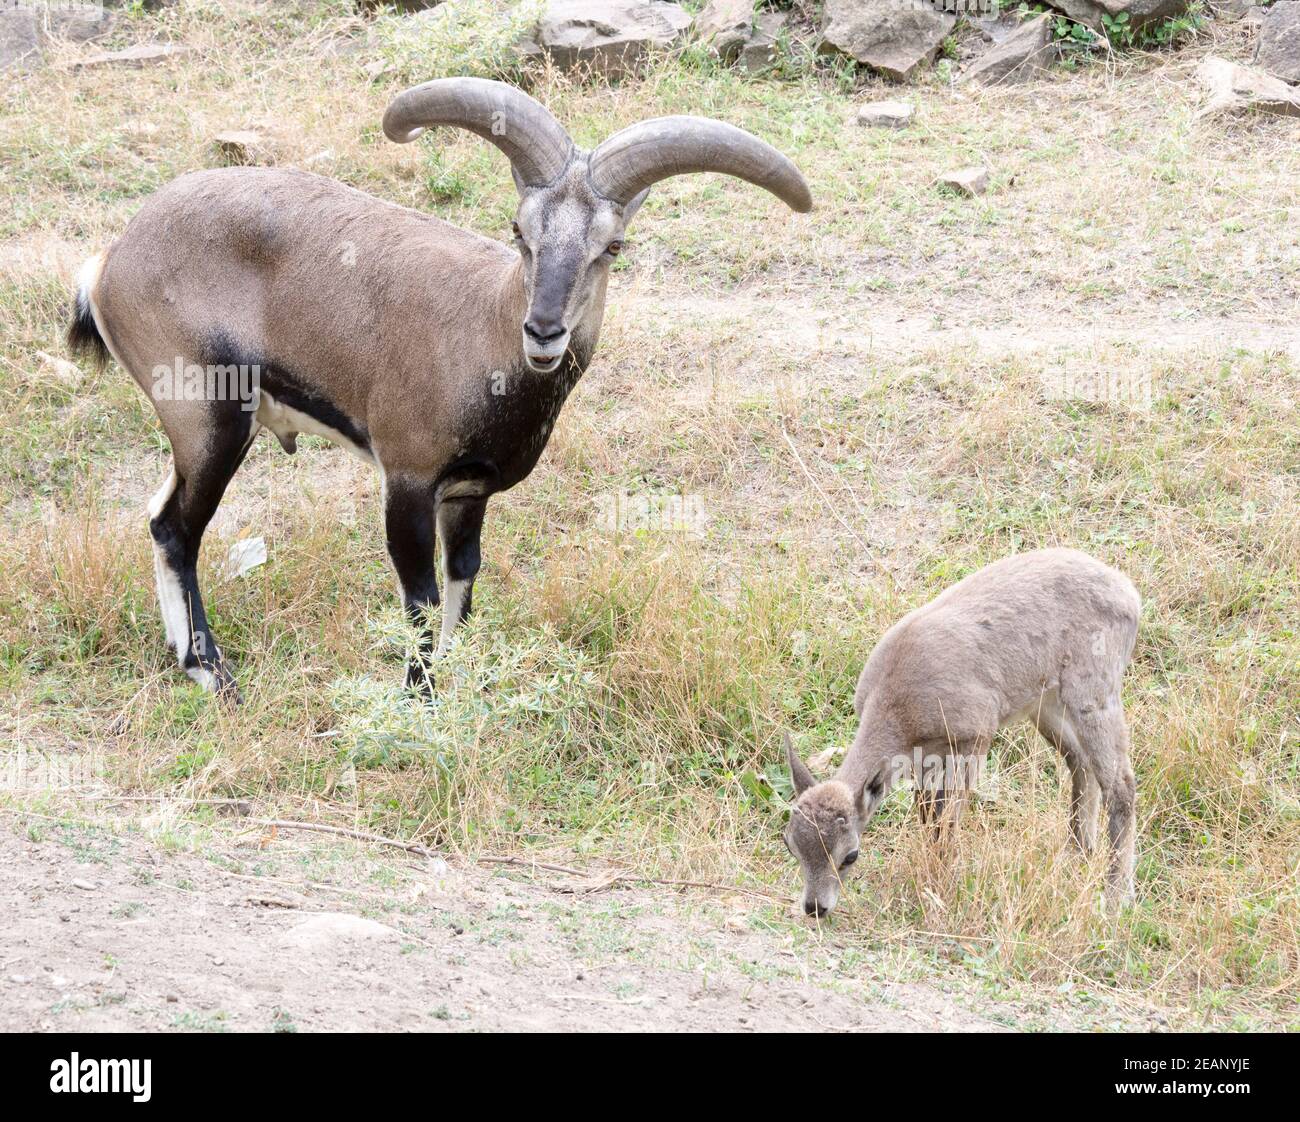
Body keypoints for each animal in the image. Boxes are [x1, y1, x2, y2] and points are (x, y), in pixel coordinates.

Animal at [66, 78, 812, 697]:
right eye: (520, 230)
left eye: (613, 246)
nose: (543, 330)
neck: (485, 341)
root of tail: (109, 262)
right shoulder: (407, 476)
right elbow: (420, 596)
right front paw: (418, 701)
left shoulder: (467, 492)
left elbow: (464, 577)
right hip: (209, 415)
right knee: (177, 526)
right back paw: (211, 670)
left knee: (160, 518)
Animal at [783, 548, 1140, 917]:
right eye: (791, 845)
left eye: (850, 855)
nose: (815, 907)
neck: (899, 707)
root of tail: (1129, 593)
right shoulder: (925, 758)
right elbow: (928, 816)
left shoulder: (976, 734)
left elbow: (948, 822)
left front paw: (941, 885)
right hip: (1045, 703)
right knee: (1080, 763)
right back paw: (1077, 855)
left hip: (1094, 692)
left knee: (1121, 784)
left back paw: (1117, 897)